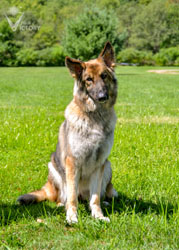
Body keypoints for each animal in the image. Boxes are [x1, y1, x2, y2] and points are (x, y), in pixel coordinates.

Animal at [17, 42, 119, 224]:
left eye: (104, 76)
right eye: (88, 80)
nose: (102, 96)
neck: (95, 118)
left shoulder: (100, 163)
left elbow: (95, 198)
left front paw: (98, 216)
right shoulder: (72, 162)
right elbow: (72, 197)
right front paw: (71, 217)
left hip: (108, 166)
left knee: (96, 195)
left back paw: (104, 202)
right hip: (54, 167)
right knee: (64, 197)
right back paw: (61, 204)